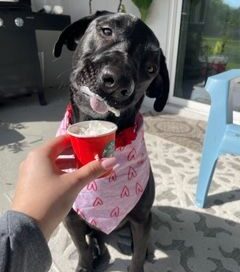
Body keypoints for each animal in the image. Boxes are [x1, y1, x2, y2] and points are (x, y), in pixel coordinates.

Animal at [54, 10, 169, 272]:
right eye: (106, 30)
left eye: (150, 68)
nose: (117, 81)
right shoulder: (70, 218)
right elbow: (81, 249)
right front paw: (86, 264)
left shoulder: (140, 219)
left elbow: (137, 258)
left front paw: (139, 258)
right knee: (95, 236)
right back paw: (99, 251)